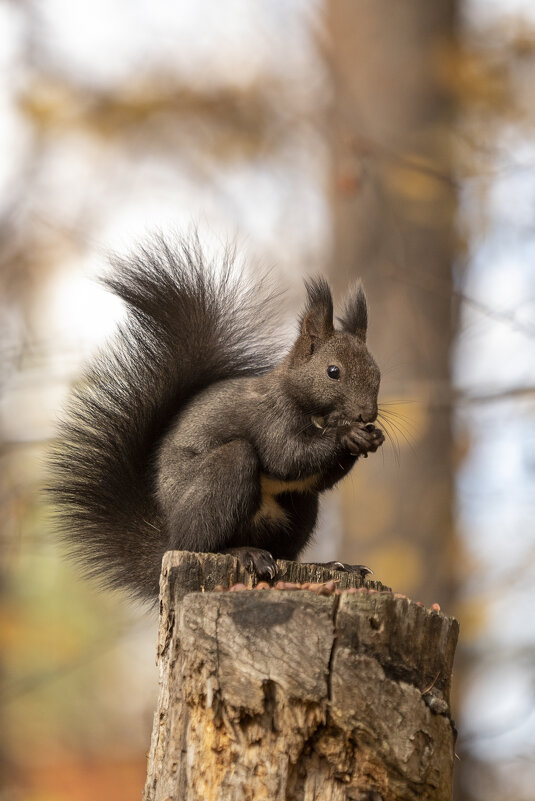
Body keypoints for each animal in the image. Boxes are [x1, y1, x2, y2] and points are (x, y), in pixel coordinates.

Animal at [49, 236, 386, 600]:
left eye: (377, 373)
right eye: (333, 371)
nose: (367, 413)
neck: (315, 414)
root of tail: (169, 540)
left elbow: (316, 478)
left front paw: (372, 436)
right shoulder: (269, 418)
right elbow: (286, 457)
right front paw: (348, 436)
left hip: (298, 507)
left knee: (285, 549)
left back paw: (329, 565)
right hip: (218, 482)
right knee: (203, 540)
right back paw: (243, 552)